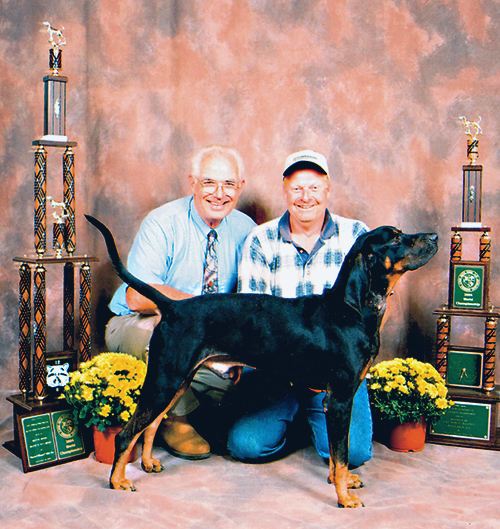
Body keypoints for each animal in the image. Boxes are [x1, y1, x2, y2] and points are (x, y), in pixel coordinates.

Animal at [86, 216, 438, 508]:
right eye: (396, 238)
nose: (435, 235)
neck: (350, 310)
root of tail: (173, 307)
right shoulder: (339, 400)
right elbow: (340, 454)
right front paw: (344, 497)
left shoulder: (338, 401)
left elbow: (339, 453)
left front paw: (344, 482)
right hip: (165, 380)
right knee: (125, 433)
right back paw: (117, 481)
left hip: (175, 380)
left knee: (152, 424)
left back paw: (147, 463)